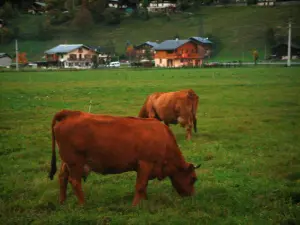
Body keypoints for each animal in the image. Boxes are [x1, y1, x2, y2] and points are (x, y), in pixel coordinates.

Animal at [48, 110, 199, 207]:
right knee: (75, 182)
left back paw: (62, 202)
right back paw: (83, 204)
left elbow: (144, 185)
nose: (192, 196)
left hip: (67, 162)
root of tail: (71, 114)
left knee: (62, 177)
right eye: (193, 178)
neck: (164, 141)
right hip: (75, 163)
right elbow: (140, 186)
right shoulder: (145, 164)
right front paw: (135, 205)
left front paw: (144, 201)